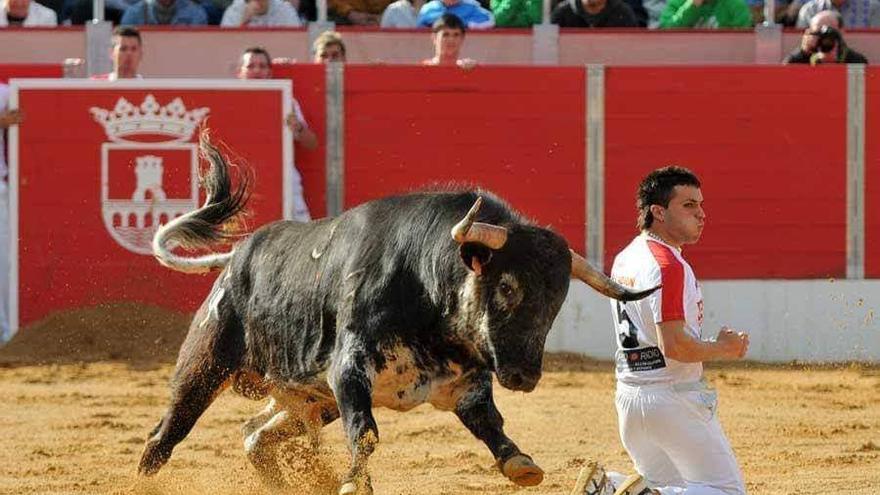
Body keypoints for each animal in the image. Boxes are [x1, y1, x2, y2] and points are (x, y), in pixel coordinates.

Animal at [138, 134, 656, 494]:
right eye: (507, 286)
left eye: (556, 301)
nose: (524, 376)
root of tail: (236, 259)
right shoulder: (348, 371)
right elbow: (365, 434)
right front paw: (353, 482)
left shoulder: (465, 383)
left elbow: (490, 422)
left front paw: (520, 464)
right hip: (206, 362)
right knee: (165, 434)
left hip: (310, 398)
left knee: (254, 437)